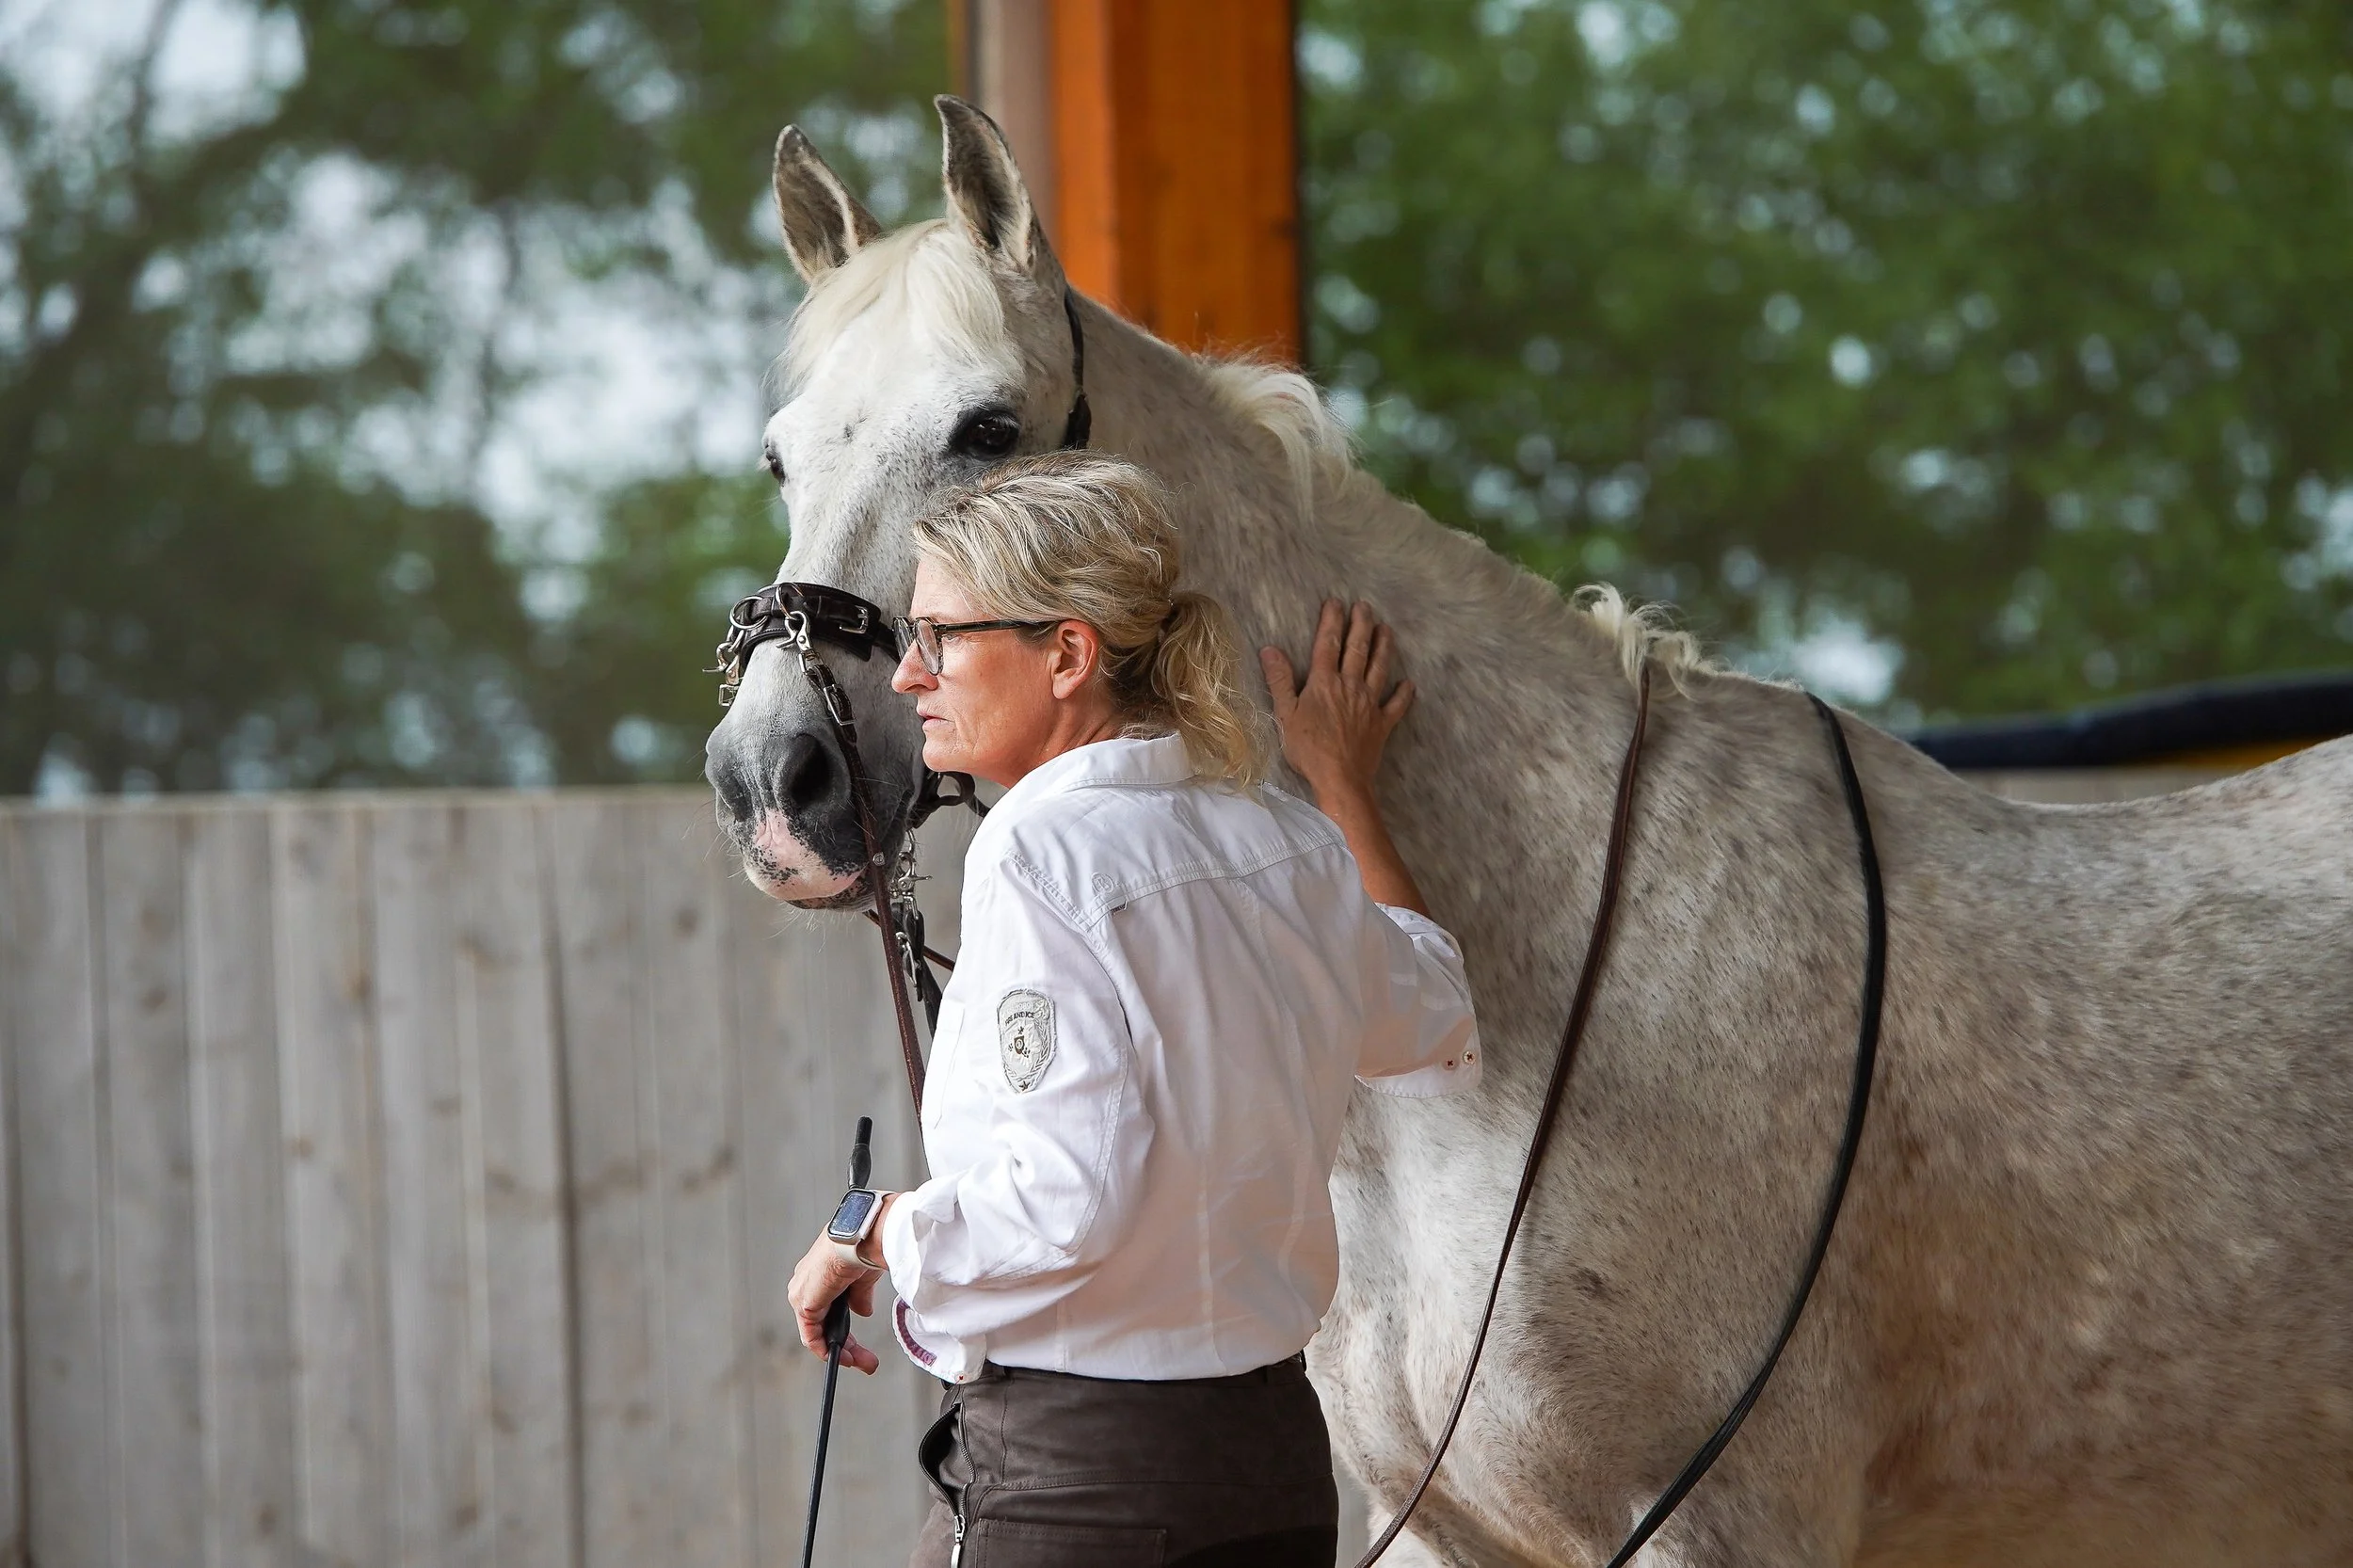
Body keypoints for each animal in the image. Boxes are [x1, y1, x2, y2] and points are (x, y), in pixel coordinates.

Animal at [704, 97, 2353, 1567]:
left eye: (988, 430)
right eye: (783, 458)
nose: (775, 779)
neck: (1540, 986)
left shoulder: (1720, 1526)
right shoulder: (1451, 1528)